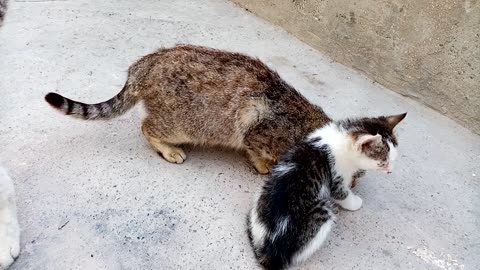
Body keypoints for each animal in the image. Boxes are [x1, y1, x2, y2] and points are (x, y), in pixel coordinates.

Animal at [248, 113, 404, 268]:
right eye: (382, 164)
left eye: (393, 159)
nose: (390, 171)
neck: (341, 139)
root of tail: (270, 251)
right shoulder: (337, 179)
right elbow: (342, 195)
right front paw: (355, 203)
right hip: (323, 212)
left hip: (261, 196)